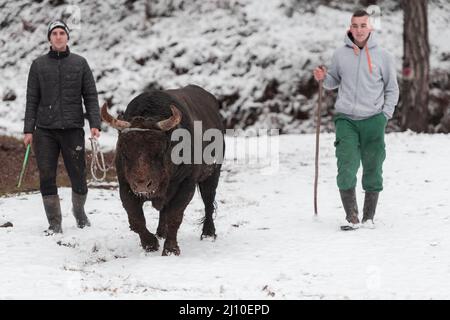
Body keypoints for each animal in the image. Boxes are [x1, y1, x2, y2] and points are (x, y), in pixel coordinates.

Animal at [100, 84, 223, 255]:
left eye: (159, 150)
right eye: (124, 151)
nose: (142, 185)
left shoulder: (186, 185)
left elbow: (174, 216)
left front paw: (171, 249)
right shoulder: (125, 186)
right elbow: (136, 218)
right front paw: (150, 243)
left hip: (212, 174)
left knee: (208, 202)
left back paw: (208, 233)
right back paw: (160, 233)